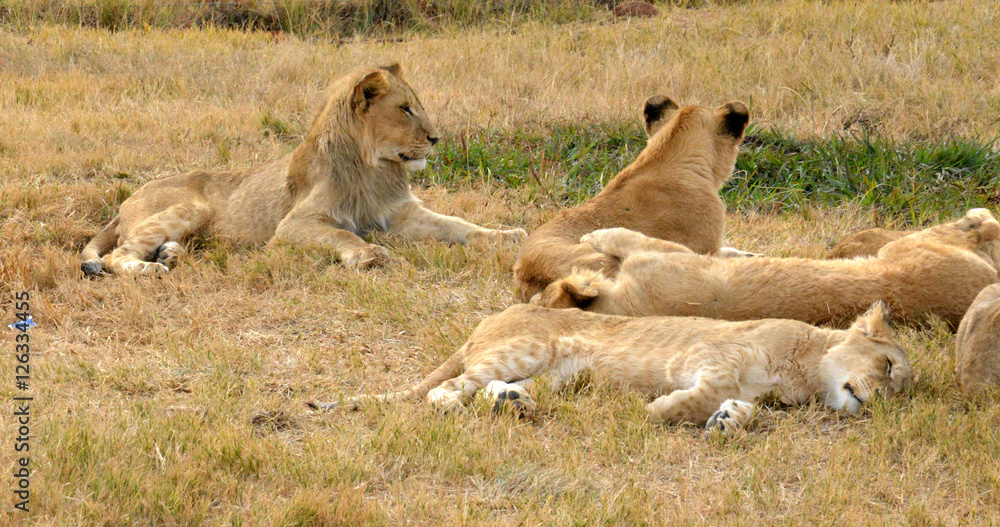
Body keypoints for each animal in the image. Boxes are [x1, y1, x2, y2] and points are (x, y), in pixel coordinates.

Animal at [80, 64, 526, 276]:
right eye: (405, 108)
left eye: (416, 106)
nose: (436, 138)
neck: (375, 168)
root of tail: (124, 203)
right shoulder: (292, 226)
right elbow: (341, 235)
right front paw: (369, 256)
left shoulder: (400, 213)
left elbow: (459, 225)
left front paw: (507, 236)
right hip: (191, 207)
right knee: (117, 254)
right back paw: (150, 267)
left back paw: (169, 253)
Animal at [533, 209, 1000, 329]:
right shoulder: (664, 255)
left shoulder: (667, 253)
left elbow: (620, 234)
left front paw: (592, 234)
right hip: (915, 246)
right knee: (981, 226)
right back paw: (977, 218)